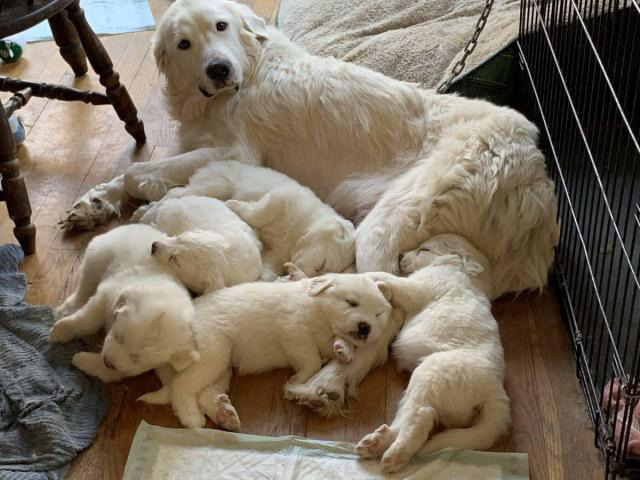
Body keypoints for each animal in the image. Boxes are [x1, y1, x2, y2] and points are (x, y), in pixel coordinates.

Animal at [138, 274, 392, 428]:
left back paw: (224, 414)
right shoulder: (294, 329)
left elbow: (334, 346)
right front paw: (297, 380)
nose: (365, 327)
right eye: (351, 303)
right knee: (181, 387)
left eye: (378, 314)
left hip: (221, 365)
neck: (320, 312)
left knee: (201, 390)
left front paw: (344, 350)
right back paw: (192, 418)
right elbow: (311, 360)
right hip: (213, 351)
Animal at [151, 156, 358, 280]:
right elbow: (261, 213)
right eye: (320, 265)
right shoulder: (282, 196)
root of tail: (216, 163)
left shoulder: (277, 253)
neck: (304, 229)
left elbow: (267, 267)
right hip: (214, 185)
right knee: (175, 193)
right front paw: (234, 205)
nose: (289, 271)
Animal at [358, 234, 512, 474]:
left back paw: (395, 455)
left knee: (422, 417)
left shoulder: (417, 286)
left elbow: (387, 276)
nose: (400, 255)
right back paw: (377, 442)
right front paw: (382, 288)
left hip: (431, 373)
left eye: (425, 250)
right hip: (419, 388)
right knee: (409, 416)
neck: (461, 271)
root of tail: (494, 391)